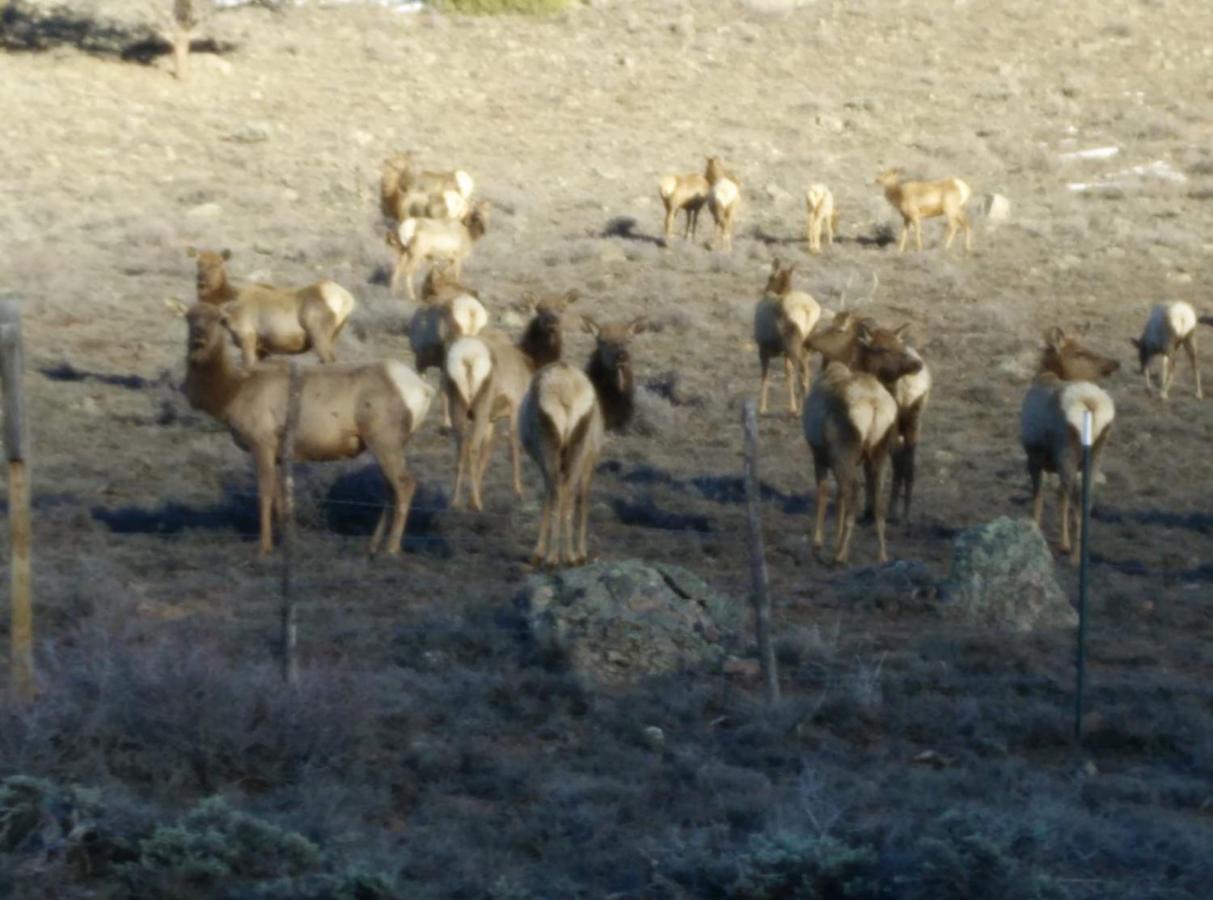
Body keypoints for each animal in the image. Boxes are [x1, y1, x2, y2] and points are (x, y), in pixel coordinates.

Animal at [175, 303, 431, 557]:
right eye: (189, 317)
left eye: (219, 320)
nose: (198, 338)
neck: (231, 395)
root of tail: (424, 390)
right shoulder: (279, 453)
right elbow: (280, 499)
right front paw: (284, 542)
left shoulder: (262, 441)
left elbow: (265, 494)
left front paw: (264, 546)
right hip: (389, 442)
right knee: (390, 488)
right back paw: (373, 546)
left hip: (384, 437)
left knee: (405, 484)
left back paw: (392, 548)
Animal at [184, 245, 354, 368]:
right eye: (198, 263)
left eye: (218, 264)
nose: (202, 282)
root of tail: (347, 299)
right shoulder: (262, 349)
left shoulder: (247, 335)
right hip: (334, 335)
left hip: (319, 332)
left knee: (329, 361)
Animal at [756, 260, 824, 414]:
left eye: (771, 277)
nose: (764, 290)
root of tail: (807, 309)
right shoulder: (784, 353)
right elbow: (788, 375)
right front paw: (791, 407)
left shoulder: (763, 349)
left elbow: (765, 376)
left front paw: (762, 408)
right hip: (805, 346)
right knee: (806, 373)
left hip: (794, 345)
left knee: (802, 373)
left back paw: (800, 412)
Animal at [810, 312, 931, 526]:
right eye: (883, 346)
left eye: (839, 329)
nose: (810, 339)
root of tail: (916, 385)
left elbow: (868, 469)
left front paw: (868, 510)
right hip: (913, 421)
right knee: (908, 466)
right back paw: (904, 515)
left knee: (894, 464)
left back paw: (890, 512)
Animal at [1018, 325, 1120, 562]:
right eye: (1079, 352)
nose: (1114, 362)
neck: (1045, 375)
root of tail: (1091, 404)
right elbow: (1060, 499)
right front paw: (1062, 543)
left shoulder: (1033, 457)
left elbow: (1039, 496)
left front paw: (1035, 530)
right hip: (1095, 456)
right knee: (1085, 501)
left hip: (1068, 454)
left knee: (1076, 504)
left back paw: (1075, 558)